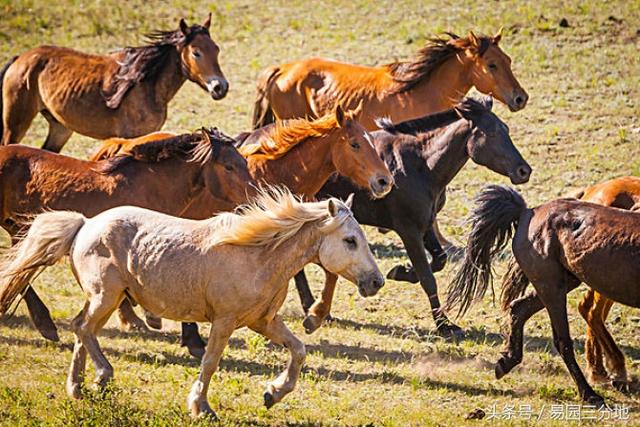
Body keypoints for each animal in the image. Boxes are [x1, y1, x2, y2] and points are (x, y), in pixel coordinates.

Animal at [0, 15, 228, 152]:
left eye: (216, 49)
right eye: (196, 52)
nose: (220, 87)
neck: (146, 86)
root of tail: (20, 59)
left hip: (60, 128)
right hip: (16, 124)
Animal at [0, 189, 382, 420]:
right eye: (350, 240)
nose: (376, 281)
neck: (258, 255)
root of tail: (85, 225)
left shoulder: (263, 321)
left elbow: (299, 350)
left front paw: (273, 394)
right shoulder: (225, 322)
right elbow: (211, 362)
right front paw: (201, 407)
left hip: (106, 299)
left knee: (82, 329)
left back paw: (79, 387)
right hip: (106, 296)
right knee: (82, 328)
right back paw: (101, 377)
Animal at [294, 98, 528, 338]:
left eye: (506, 129)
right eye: (492, 133)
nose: (523, 171)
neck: (420, 165)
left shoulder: (426, 225)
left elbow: (439, 260)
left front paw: (401, 271)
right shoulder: (409, 230)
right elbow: (428, 278)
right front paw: (444, 325)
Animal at [448, 186, 640, 406]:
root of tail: (528, 212)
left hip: (562, 282)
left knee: (519, 308)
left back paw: (506, 361)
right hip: (551, 286)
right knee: (562, 341)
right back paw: (589, 394)